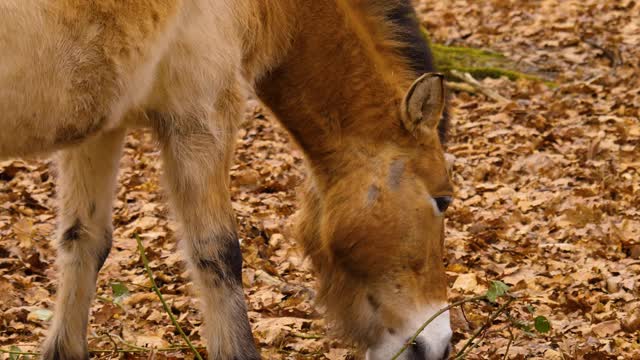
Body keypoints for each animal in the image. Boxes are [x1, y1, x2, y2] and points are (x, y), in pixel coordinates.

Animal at [0, 0, 450, 360]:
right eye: (442, 200)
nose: (440, 344)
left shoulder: (102, 127)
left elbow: (84, 241)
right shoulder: (203, 117)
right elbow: (218, 255)